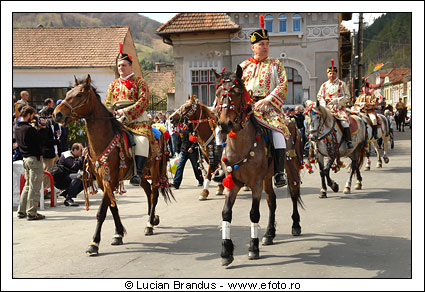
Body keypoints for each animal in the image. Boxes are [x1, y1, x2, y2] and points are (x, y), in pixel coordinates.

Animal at [53, 75, 172, 256]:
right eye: (67, 93)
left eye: (79, 94)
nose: (56, 113)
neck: (103, 140)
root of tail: (159, 129)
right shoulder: (103, 182)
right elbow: (113, 207)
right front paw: (118, 234)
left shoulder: (110, 178)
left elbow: (102, 212)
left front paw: (94, 243)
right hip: (141, 174)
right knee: (147, 191)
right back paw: (152, 219)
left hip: (155, 169)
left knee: (154, 194)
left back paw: (149, 224)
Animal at [212, 66, 302, 266]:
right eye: (218, 93)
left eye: (237, 93)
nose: (224, 124)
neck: (240, 146)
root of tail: (291, 121)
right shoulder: (233, 183)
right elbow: (226, 213)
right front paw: (226, 251)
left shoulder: (255, 184)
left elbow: (254, 213)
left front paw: (253, 248)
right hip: (268, 177)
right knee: (272, 200)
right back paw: (269, 234)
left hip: (290, 168)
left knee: (293, 194)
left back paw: (296, 225)